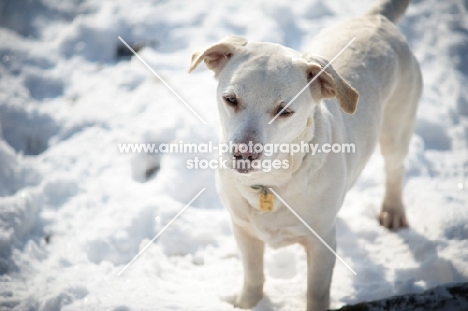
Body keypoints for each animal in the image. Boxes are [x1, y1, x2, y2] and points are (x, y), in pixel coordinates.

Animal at [188, 0, 422, 310]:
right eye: (230, 99)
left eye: (284, 111)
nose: (243, 154)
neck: (272, 183)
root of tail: (377, 19)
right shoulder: (243, 230)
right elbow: (253, 274)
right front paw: (247, 302)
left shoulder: (322, 245)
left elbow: (316, 291)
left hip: (397, 128)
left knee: (395, 169)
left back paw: (393, 211)